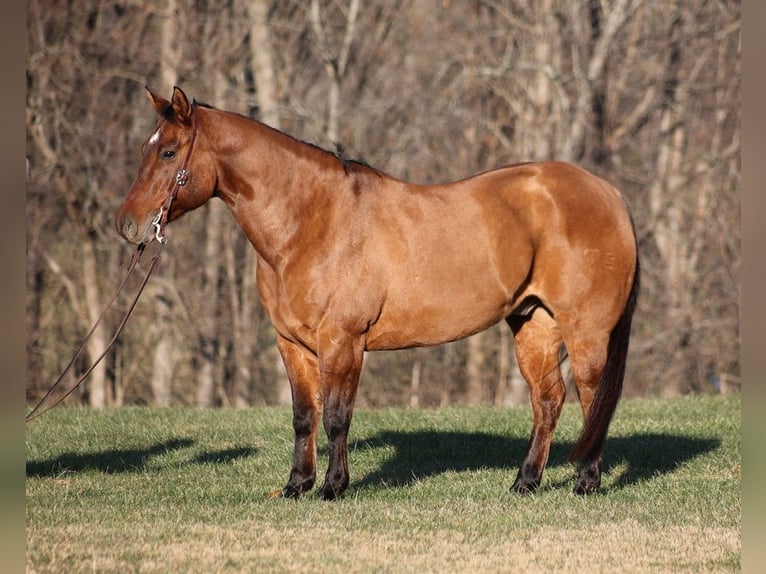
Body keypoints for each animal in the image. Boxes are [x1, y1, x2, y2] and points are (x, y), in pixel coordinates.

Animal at [117, 88, 640, 502]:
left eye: (168, 153)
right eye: (144, 148)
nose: (128, 226)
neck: (312, 221)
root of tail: (609, 193)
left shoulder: (342, 343)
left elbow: (336, 418)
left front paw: (332, 487)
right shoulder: (293, 345)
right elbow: (304, 417)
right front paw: (295, 486)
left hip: (586, 331)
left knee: (592, 399)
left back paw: (586, 483)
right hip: (535, 324)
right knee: (548, 400)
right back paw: (525, 483)